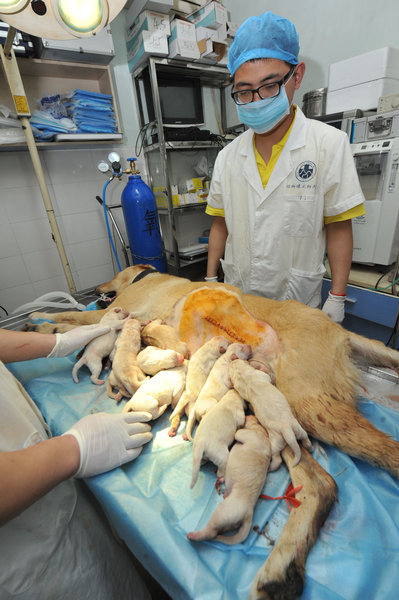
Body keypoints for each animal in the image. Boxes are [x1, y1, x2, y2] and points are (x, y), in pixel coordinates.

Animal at [188, 414, 272, 548]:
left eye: (257, 421)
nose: (250, 414)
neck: (261, 433)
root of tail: (248, 514)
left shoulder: (247, 435)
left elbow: (238, 432)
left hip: (223, 512)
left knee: (211, 532)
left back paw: (194, 536)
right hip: (229, 522)